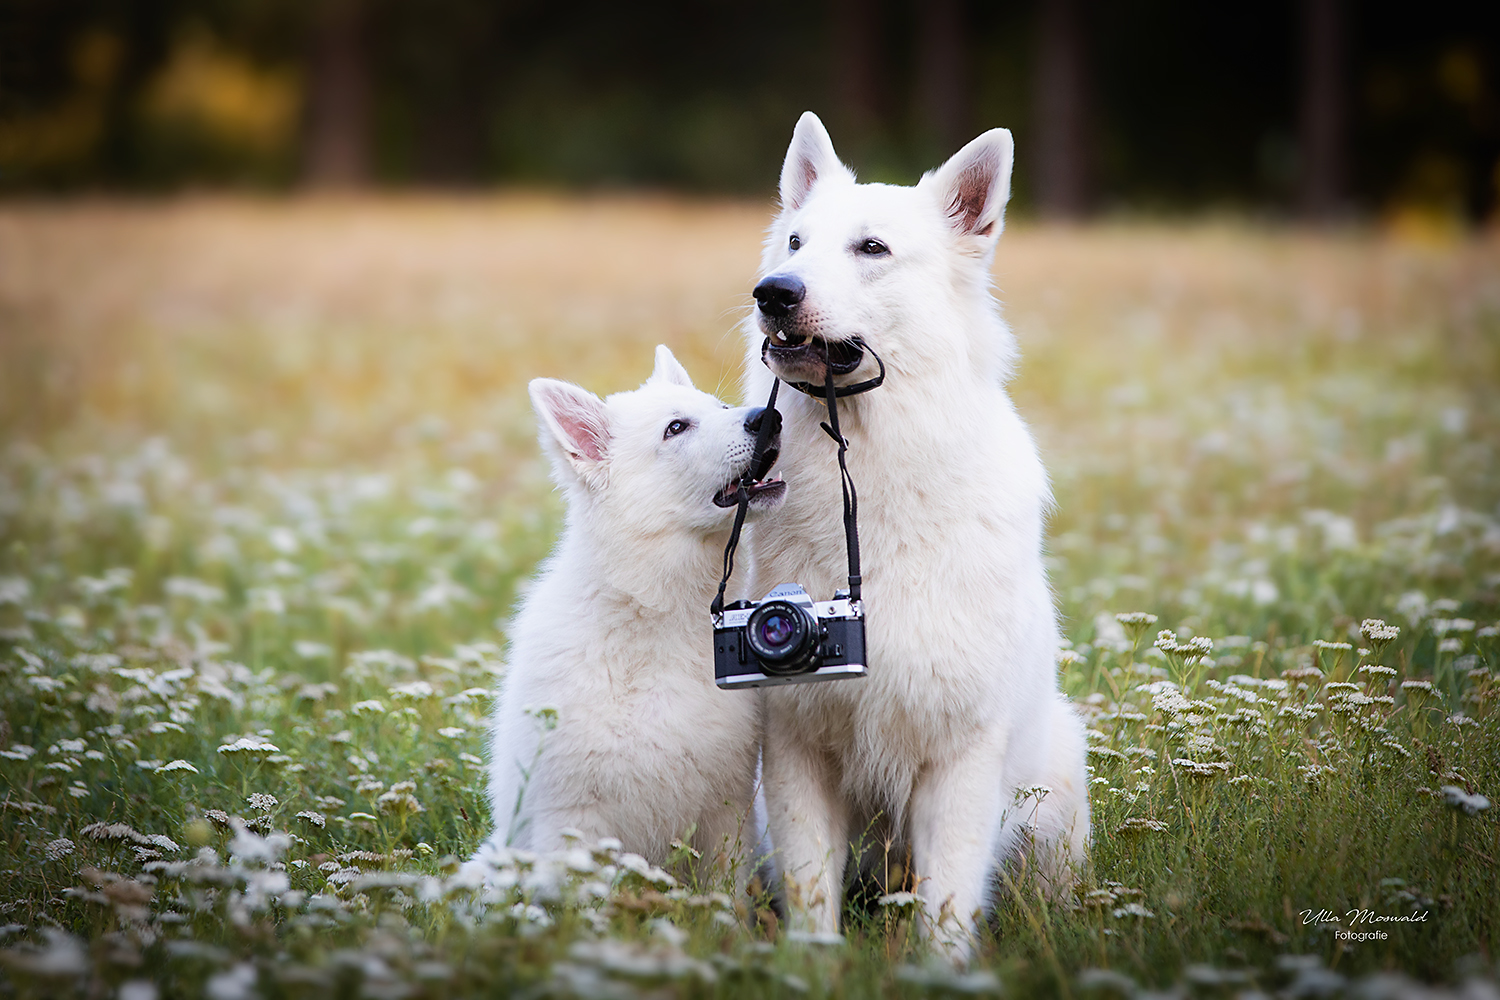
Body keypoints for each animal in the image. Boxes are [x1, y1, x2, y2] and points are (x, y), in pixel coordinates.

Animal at [477, 347, 786, 887]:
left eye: (719, 406)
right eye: (676, 428)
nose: (768, 417)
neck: (652, 616)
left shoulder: (727, 813)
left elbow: (728, 897)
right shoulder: (573, 820)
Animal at [747, 113, 1092, 959]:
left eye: (872, 249)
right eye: (795, 244)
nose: (773, 293)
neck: (867, 471)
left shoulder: (960, 758)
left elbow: (949, 901)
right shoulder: (798, 748)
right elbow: (812, 895)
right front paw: (811, 972)